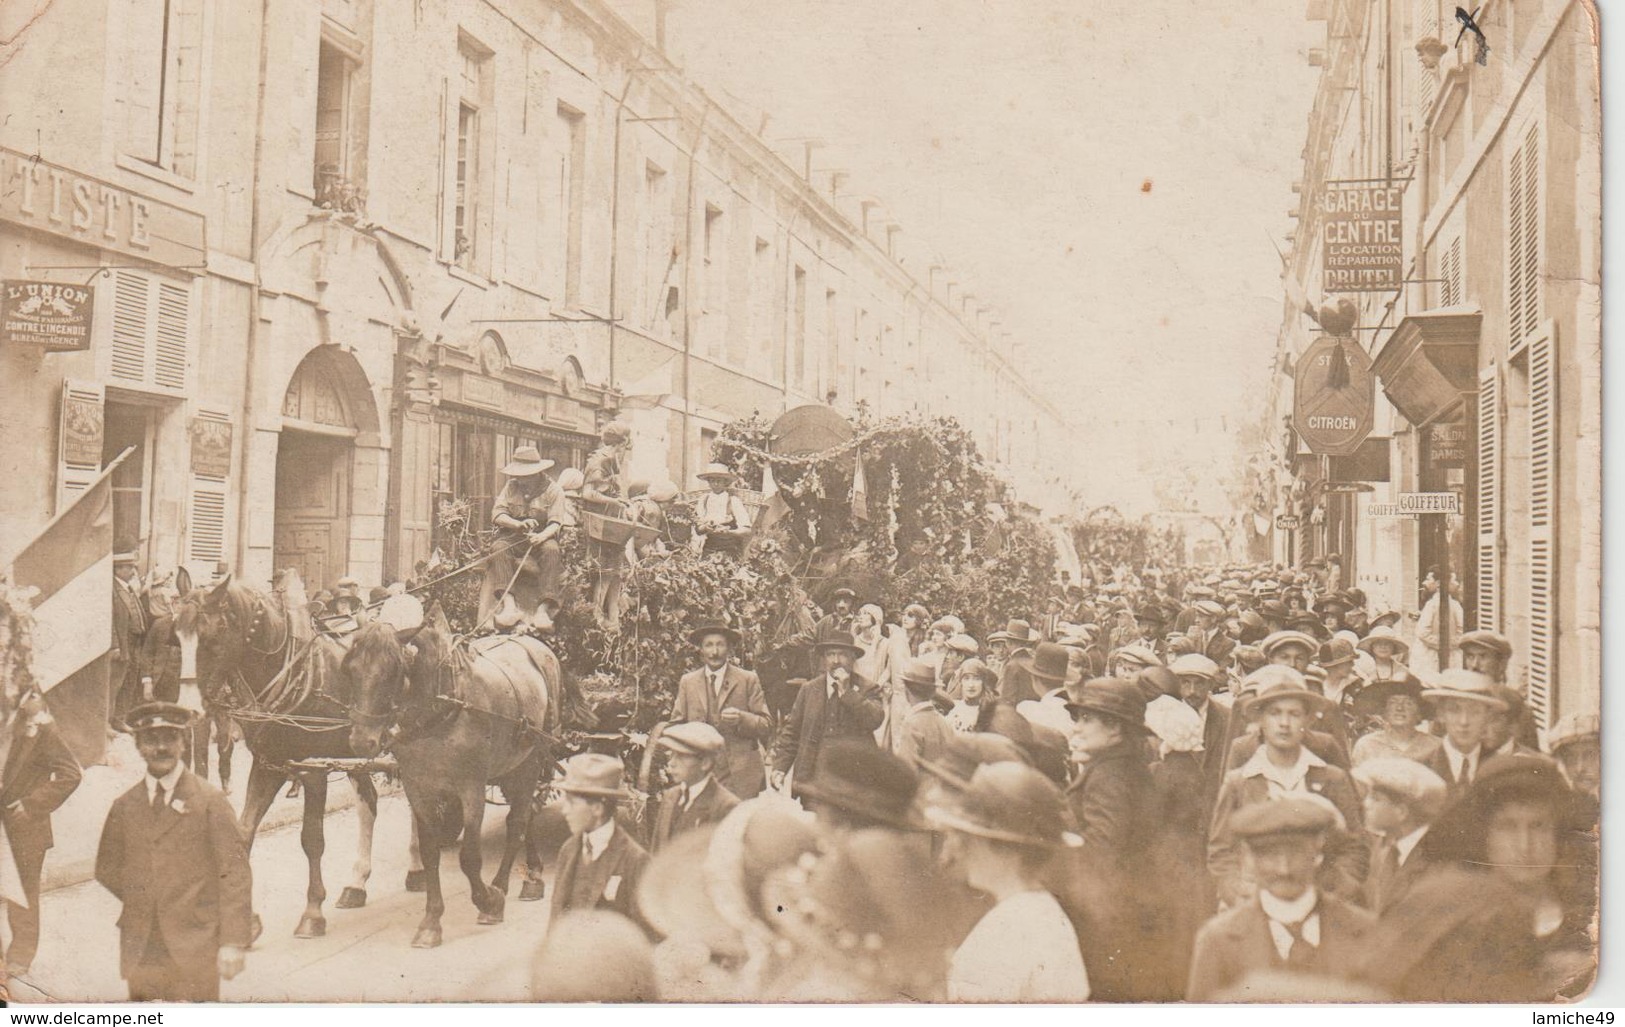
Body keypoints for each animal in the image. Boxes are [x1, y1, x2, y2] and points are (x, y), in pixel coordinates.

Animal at [173, 578, 383, 936]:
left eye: (213, 636)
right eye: (174, 635)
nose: (188, 711)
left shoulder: (313, 770)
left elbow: (312, 839)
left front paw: (312, 912)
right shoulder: (268, 765)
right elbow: (243, 833)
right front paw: (245, 920)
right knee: (369, 802)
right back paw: (357, 884)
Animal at [341, 604, 559, 949]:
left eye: (394, 670)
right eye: (349, 668)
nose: (362, 742)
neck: (441, 708)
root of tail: (533, 642)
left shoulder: (471, 786)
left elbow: (469, 857)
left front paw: (488, 901)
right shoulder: (418, 786)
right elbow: (430, 853)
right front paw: (431, 921)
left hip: (534, 758)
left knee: (518, 822)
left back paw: (506, 885)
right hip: (512, 767)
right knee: (524, 816)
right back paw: (530, 875)